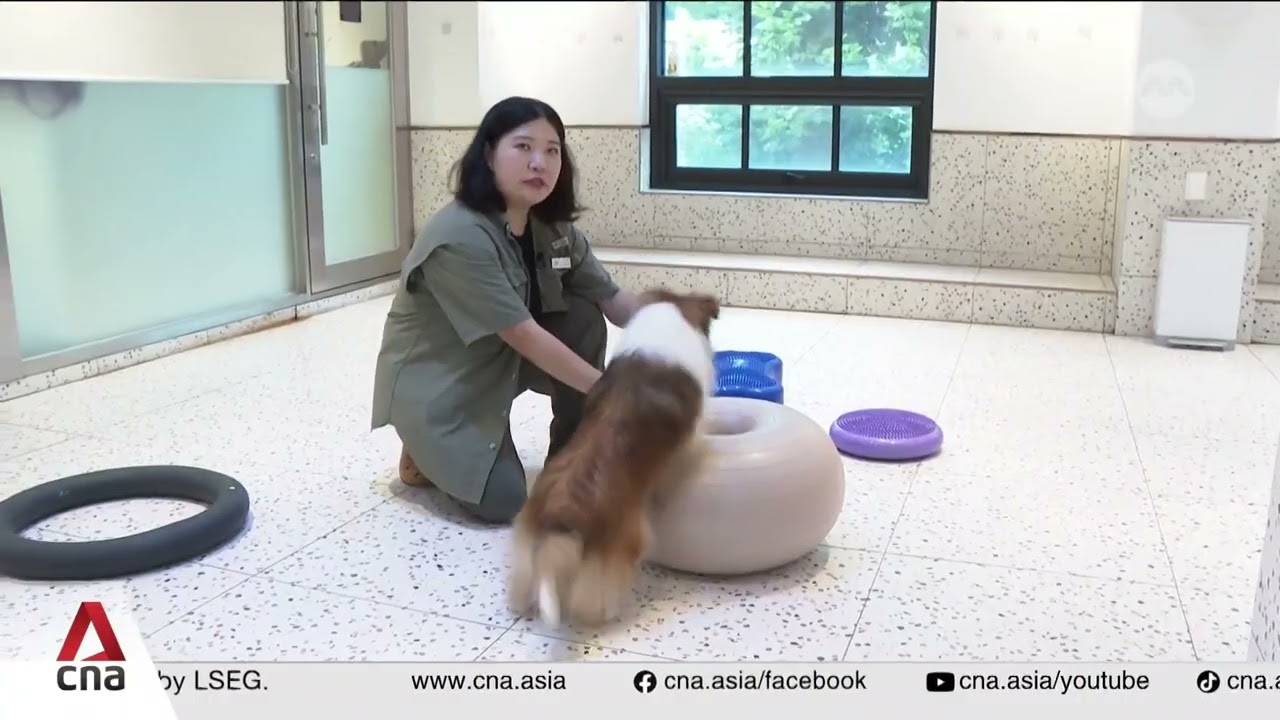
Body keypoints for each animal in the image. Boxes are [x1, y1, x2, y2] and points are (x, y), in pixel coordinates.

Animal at [507, 288, 721, 628]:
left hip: (528, 534)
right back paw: (606, 614)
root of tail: (562, 511)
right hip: (622, 541)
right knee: (596, 590)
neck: (669, 313)